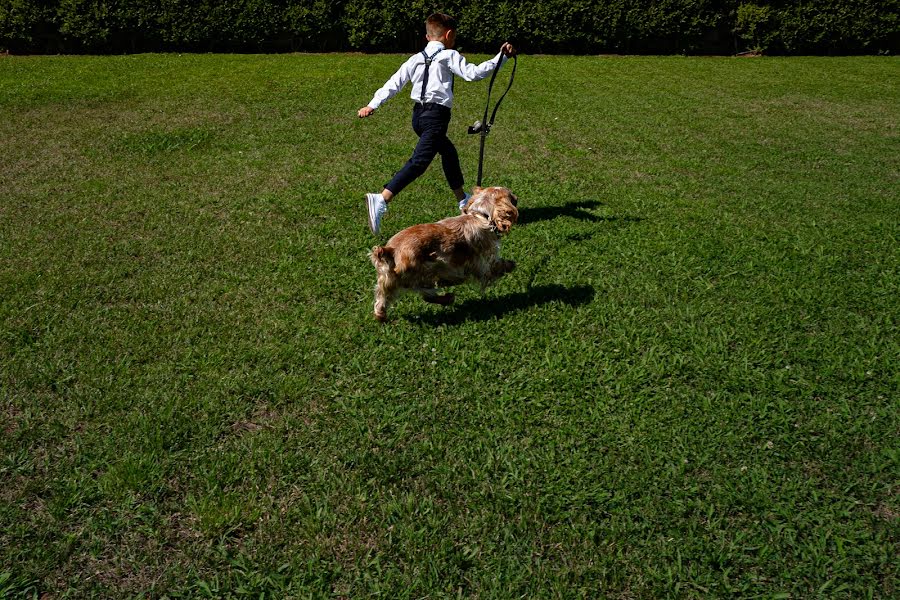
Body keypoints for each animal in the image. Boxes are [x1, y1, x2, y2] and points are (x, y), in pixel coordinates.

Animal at [368, 185, 520, 322]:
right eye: (511, 196)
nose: (517, 198)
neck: (480, 215)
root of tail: (390, 250)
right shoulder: (483, 264)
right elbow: (495, 267)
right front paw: (510, 265)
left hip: (391, 281)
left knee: (382, 302)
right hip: (424, 272)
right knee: (426, 293)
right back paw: (448, 295)